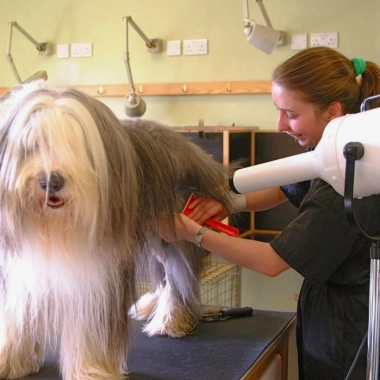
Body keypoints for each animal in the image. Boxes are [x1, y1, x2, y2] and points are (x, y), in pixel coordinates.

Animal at [0, 81, 238, 378]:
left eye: (76, 146)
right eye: (32, 144)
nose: (51, 181)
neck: (56, 224)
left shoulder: (99, 272)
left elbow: (92, 327)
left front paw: (90, 370)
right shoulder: (20, 272)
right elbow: (15, 317)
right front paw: (9, 360)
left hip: (173, 230)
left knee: (176, 275)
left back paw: (170, 320)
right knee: (161, 274)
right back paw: (149, 305)